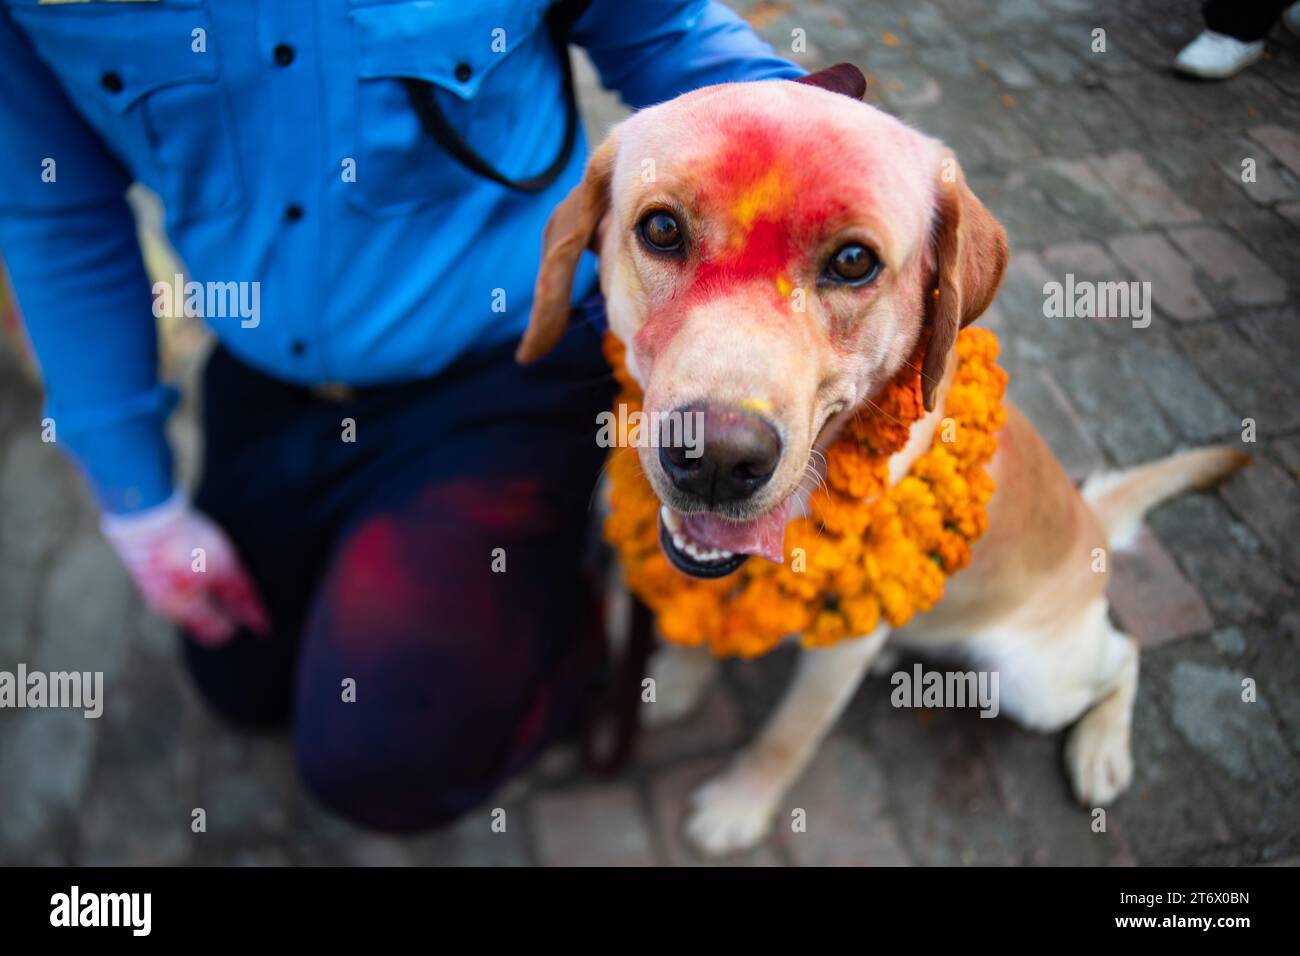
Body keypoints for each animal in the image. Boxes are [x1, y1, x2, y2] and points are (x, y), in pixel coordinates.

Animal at [512, 67, 1242, 858]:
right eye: (662, 229)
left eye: (854, 262)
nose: (715, 460)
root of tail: (1093, 523)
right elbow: (698, 628)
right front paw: (674, 680)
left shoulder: (838, 655)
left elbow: (788, 738)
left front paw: (739, 808)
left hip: (1027, 681)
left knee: (1124, 653)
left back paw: (1102, 749)